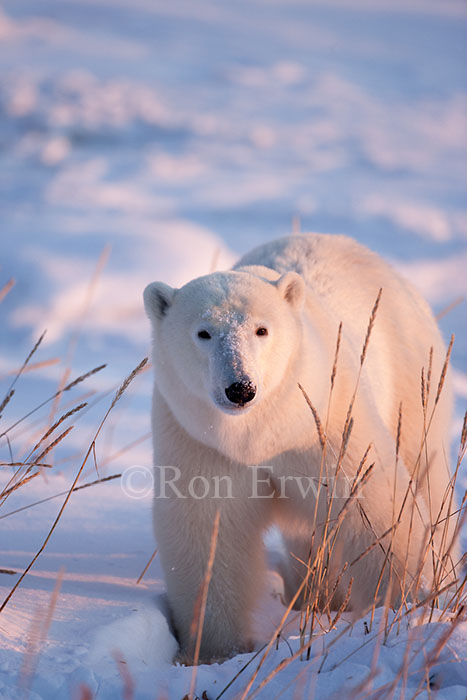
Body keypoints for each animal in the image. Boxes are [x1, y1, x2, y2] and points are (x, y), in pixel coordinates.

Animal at [144, 234, 458, 660]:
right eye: (203, 332)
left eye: (261, 329)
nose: (240, 388)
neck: (261, 434)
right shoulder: (198, 440)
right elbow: (207, 533)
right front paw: (211, 650)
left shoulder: (325, 426)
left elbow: (377, 510)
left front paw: (409, 605)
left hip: (410, 376)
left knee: (426, 472)